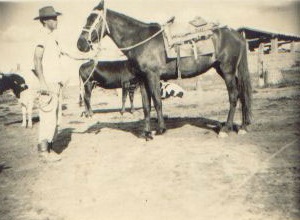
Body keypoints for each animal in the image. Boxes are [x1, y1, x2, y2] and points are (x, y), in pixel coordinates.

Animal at [77, 0, 251, 140]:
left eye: (94, 19)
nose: (80, 44)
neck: (140, 40)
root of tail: (237, 35)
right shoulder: (142, 79)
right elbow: (146, 105)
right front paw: (146, 133)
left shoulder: (153, 75)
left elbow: (157, 101)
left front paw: (161, 129)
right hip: (224, 70)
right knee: (242, 93)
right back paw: (243, 126)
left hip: (227, 70)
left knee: (233, 95)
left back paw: (226, 128)